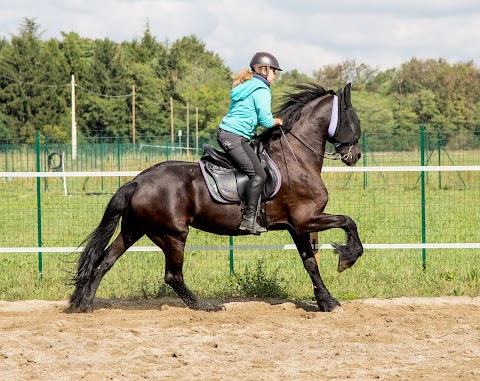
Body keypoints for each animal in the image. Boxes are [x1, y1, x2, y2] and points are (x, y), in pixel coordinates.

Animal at [68, 82, 364, 312]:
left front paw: (327, 301)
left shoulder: (297, 226)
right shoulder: (307, 219)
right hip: (173, 235)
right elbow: (348, 221)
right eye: (355, 120)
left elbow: (310, 263)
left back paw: (84, 304)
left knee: (105, 261)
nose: (356, 156)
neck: (296, 158)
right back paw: (204, 306)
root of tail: (137, 181)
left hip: (135, 229)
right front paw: (346, 258)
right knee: (172, 275)